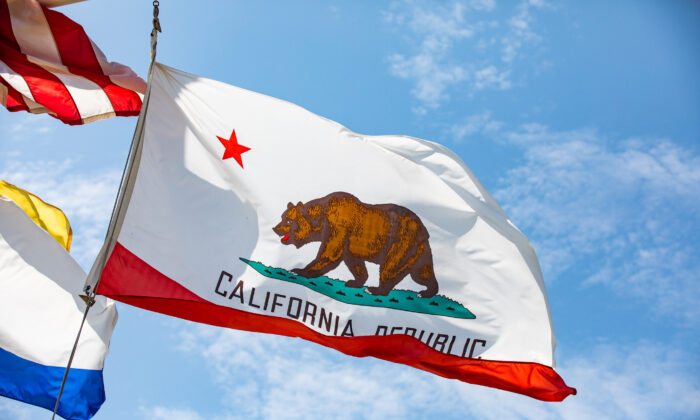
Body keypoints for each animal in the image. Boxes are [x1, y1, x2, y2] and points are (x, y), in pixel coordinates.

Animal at [274, 192, 438, 296]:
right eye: (282, 217)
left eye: (288, 221)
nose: (275, 228)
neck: (320, 219)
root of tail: (424, 230)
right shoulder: (350, 245)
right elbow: (354, 263)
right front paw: (355, 281)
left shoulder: (338, 226)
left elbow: (329, 253)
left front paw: (299, 270)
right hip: (418, 251)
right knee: (422, 272)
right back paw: (427, 291)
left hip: (402, 241)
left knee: (390, 267)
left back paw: (375, 290)